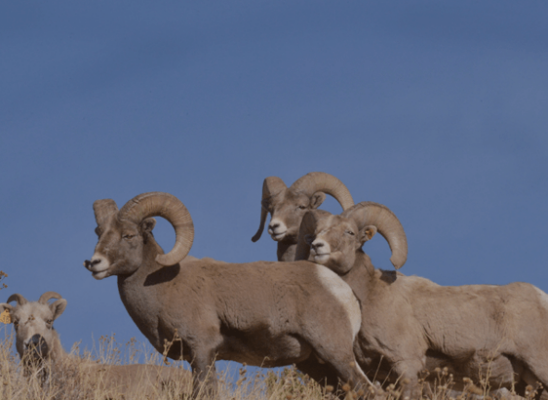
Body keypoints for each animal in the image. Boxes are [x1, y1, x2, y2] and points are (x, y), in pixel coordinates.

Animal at [83, 192, 374, 398]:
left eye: (128, 235)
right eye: (99, 233)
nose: (93, 263)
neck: (163, 286)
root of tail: (341, 290)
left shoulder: (202, 352)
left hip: (336, 353)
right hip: (318, 365)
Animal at [296, 205, 548, 398]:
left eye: (349, 232)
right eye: (317, 232)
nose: (317, 246)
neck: (370, 295)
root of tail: (541, 297)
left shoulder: (406, 364)